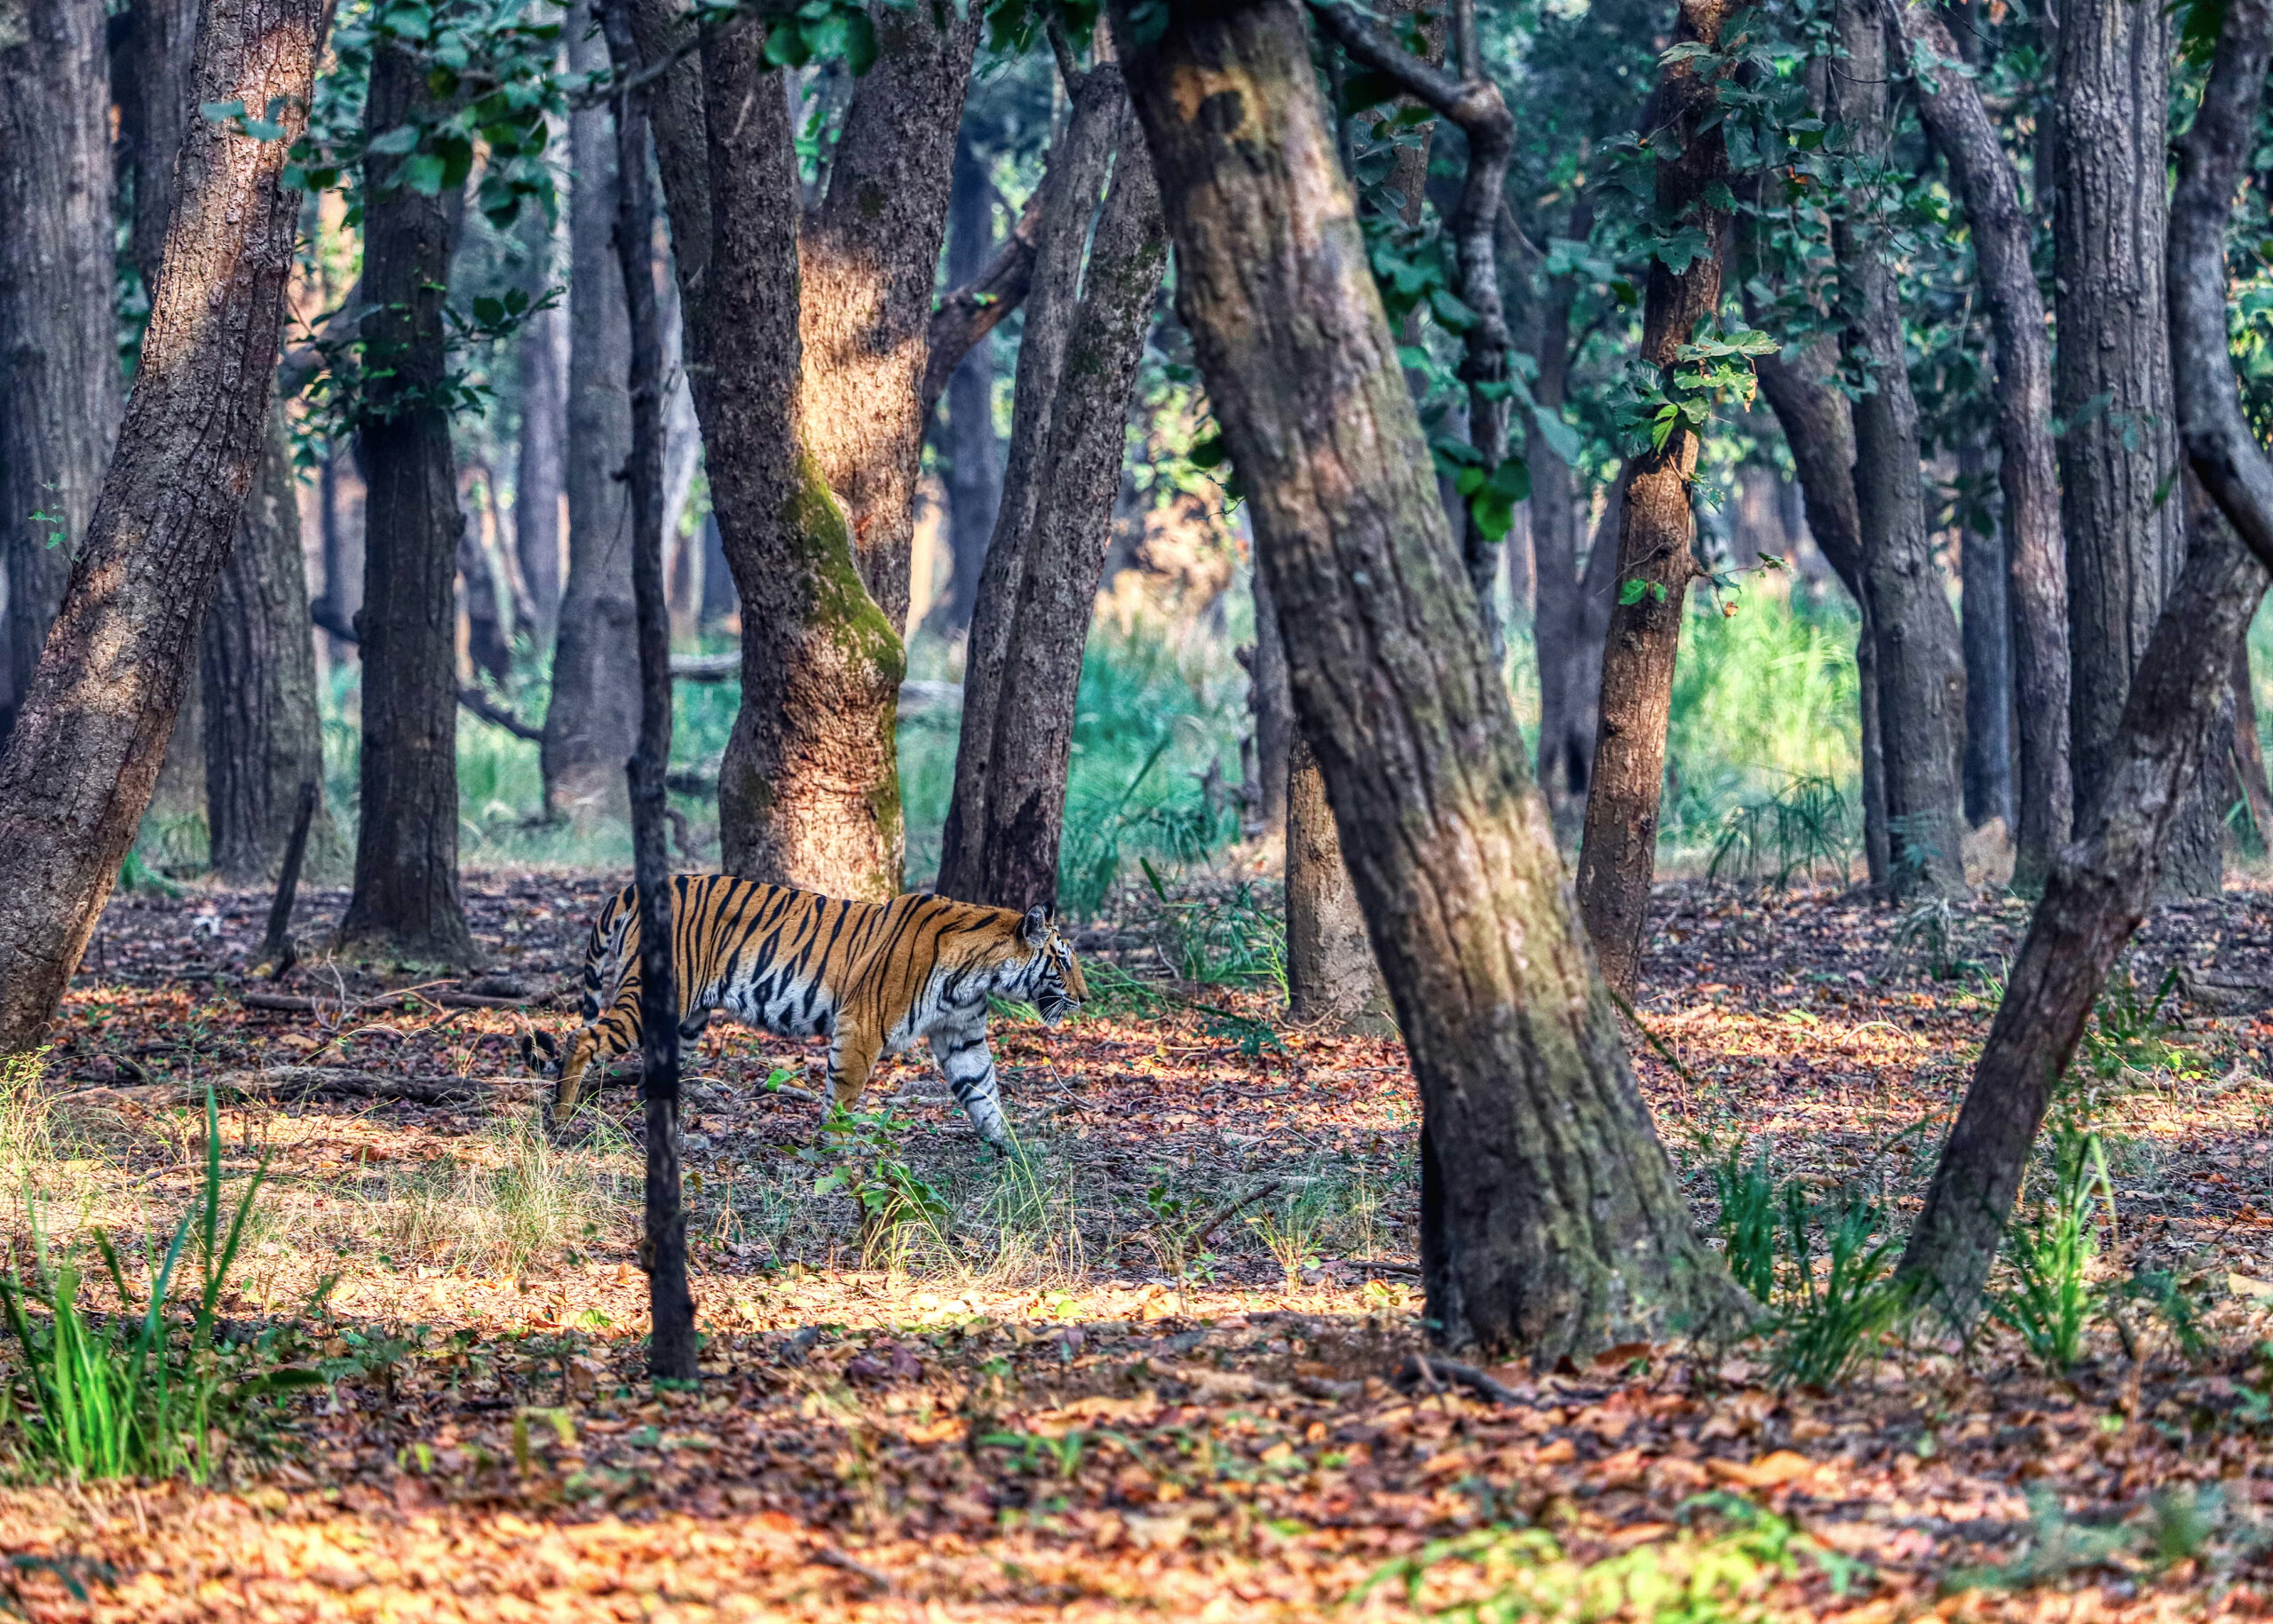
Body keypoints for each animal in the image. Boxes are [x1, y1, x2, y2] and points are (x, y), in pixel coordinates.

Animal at [520, 873, 1086, 1151]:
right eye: (1062, 962)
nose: (1083, 998)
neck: (978, 974)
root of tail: (634, 887)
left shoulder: (961, 1035)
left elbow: (985, 1094)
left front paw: (1015, 1151)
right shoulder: (862, 1027)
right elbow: (843, 1095)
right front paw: (837, 1151)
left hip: (686, 1021)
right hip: (651, 998)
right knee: (581, 1039)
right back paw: (562, 1122)